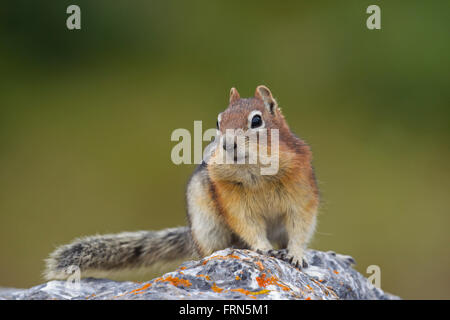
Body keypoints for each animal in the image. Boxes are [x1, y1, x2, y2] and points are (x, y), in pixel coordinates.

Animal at [44, 85, 320, 280]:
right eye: (218, 121)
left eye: (256, 121)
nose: (227, 145)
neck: (256, 172)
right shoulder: (233, 200)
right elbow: (249, 225)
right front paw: (264, 249)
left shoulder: (301, 193)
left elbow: (299, 226)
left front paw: (296, 255)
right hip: (207, 227)